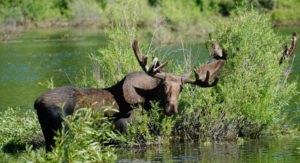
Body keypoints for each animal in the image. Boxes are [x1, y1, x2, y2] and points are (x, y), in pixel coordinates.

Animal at [34, 39, 226, 152]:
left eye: (181, 88)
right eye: (163, 85)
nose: (171, 109)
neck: (148, 100)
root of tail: (36, 103)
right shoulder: (124, 129)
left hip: (49, 134)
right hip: (61, 131)